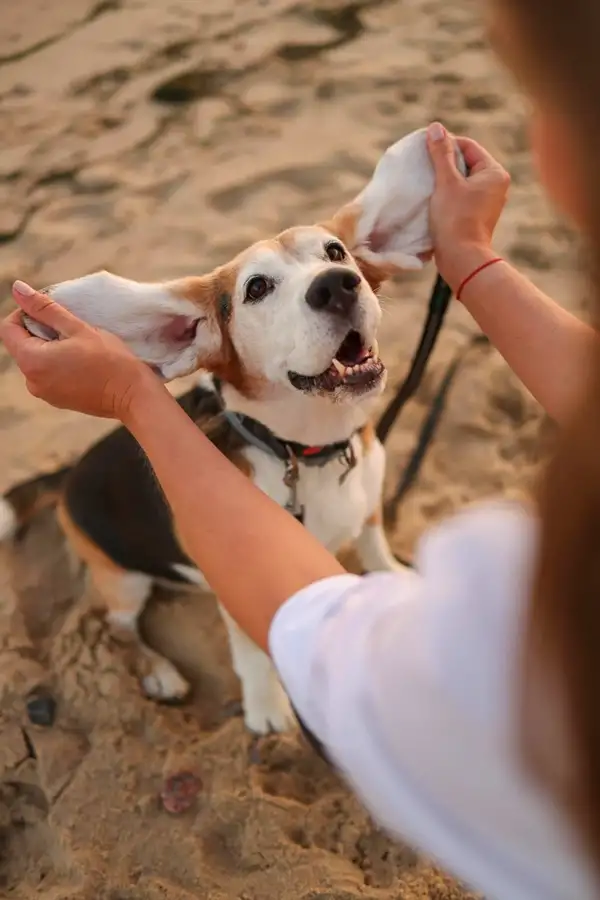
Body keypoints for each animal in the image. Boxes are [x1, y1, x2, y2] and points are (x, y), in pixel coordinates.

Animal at [0, 126, 466, 732]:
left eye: (335, 252)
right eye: (257, 288)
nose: (337, 285)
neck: (308, 450)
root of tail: (70, 471)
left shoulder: (369, 513)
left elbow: (379, 555)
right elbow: (251, 652)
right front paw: (267, 708)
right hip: (122, 579)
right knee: (118, 627)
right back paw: (161, 672)